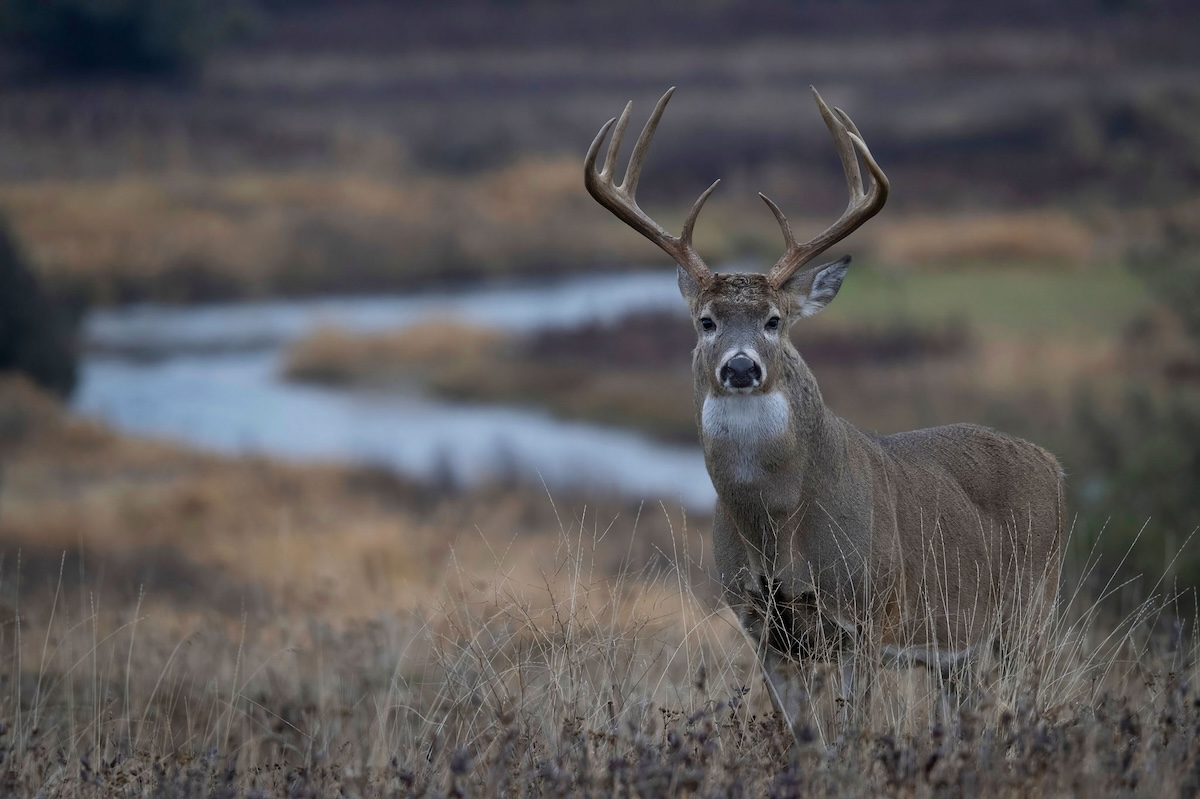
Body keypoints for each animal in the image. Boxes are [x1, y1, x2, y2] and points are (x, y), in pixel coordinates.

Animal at [584, 87, 1064, 738]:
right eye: (706, 321)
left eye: (774, 320)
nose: (740, 368)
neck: (778, 526)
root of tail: (1055, 466)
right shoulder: (760, 626)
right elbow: (805, 736)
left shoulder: (867, 617)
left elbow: (854, 733)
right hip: (958, 651)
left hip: (1030, 613)